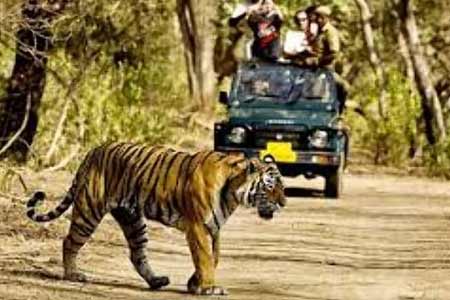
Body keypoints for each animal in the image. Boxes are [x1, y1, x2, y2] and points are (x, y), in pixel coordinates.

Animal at [25, 142, 284, 296]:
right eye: (270, 186)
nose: (283, 203)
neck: (233, 192)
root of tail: (93, 150)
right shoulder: (198, 226)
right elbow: (205, 258)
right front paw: (209, 287)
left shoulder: (214, 228)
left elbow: (213, 257)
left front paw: (195, 284)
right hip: (89, 210)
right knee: (69, 241)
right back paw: (73, 274)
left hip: (133, 220)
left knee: (136, 254)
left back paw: (156, 281)